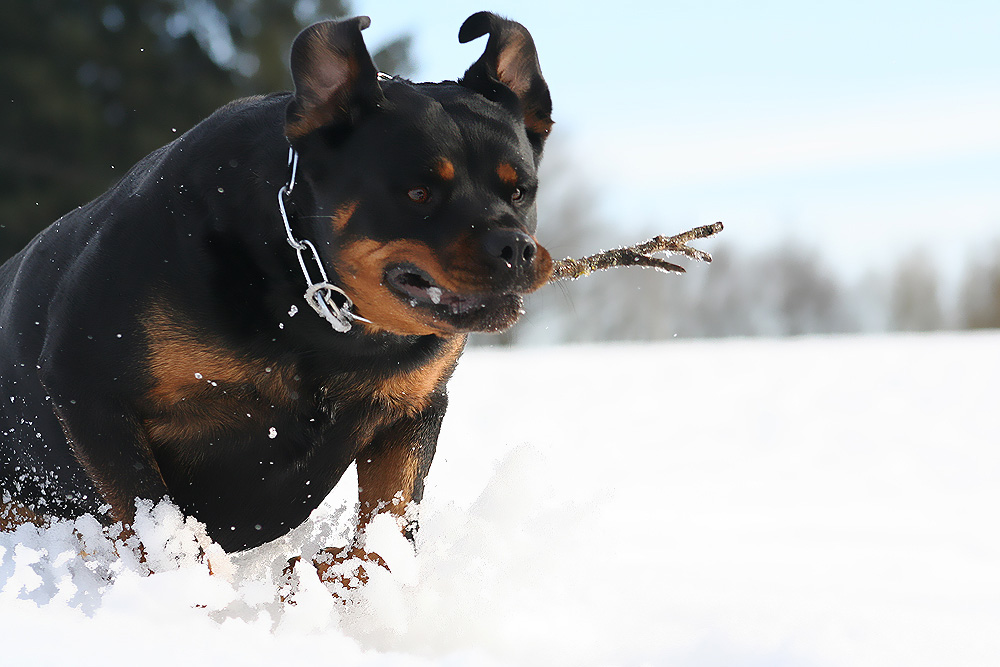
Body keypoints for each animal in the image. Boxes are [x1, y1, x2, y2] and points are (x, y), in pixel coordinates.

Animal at [0, 10, 556, 576]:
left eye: (520, 190)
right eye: (418, 193)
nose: (514, 247)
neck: (311, 299)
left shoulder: (414, 407)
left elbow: (389, 522)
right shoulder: (86, 382)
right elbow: (153, 517)